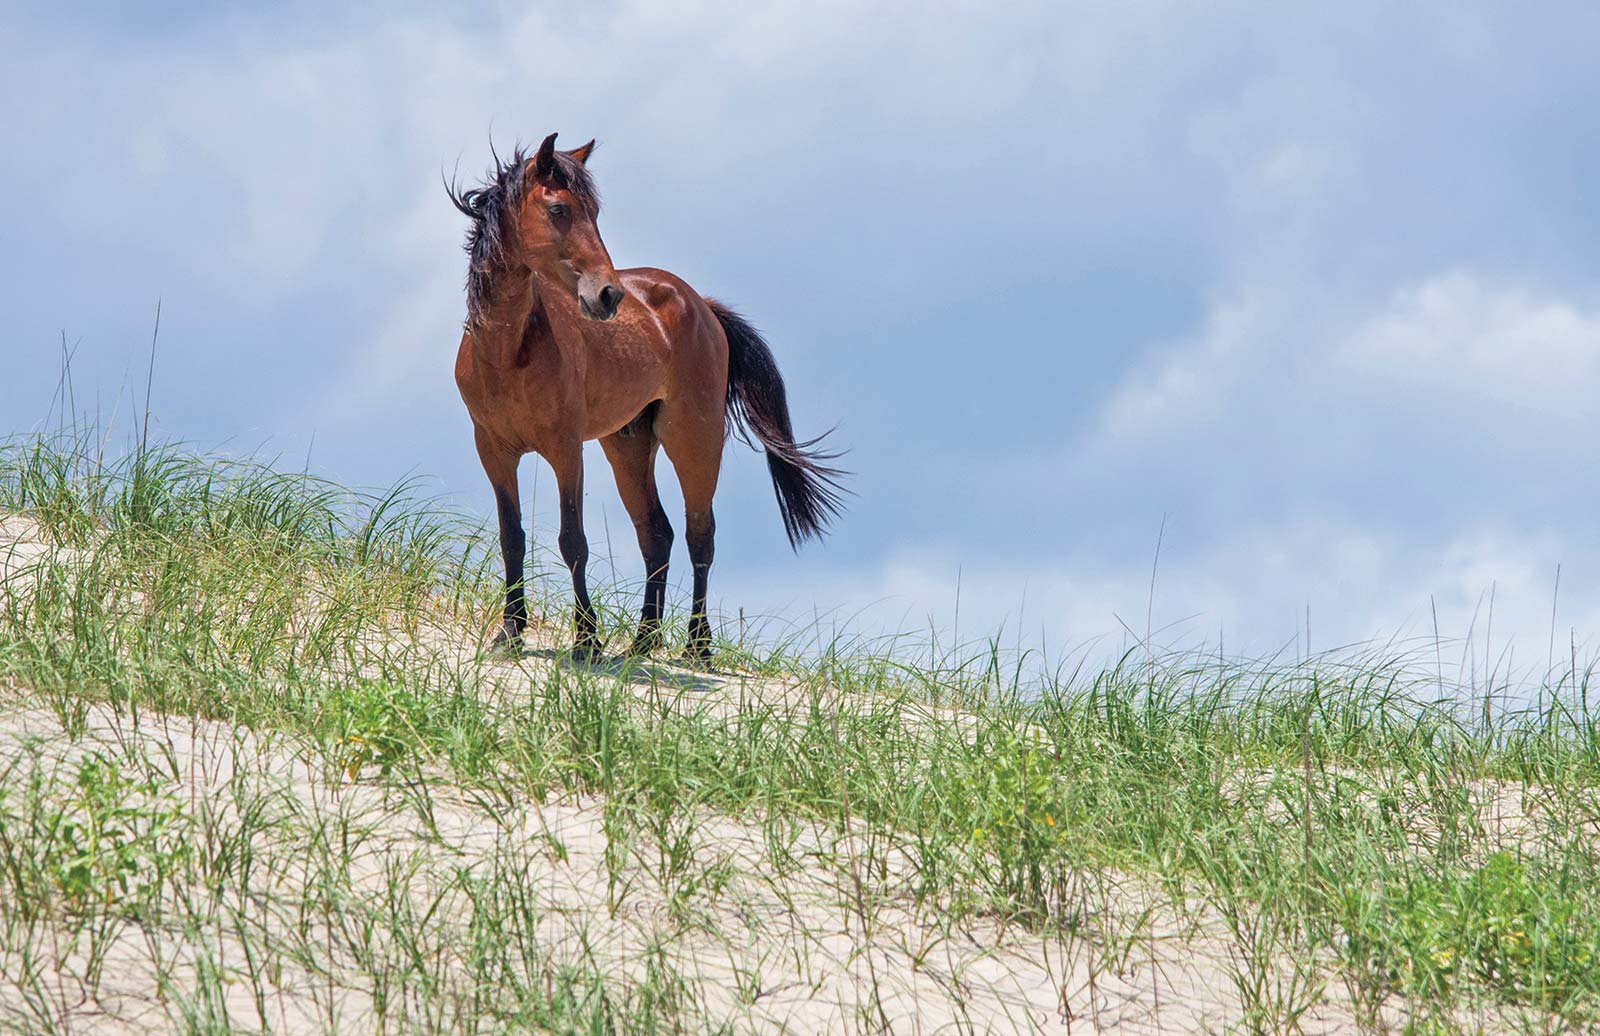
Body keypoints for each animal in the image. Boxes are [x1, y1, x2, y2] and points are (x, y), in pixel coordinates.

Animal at [444, 133, 844, 658]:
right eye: (558, 209)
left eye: (595, 211)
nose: (608, 295)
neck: (509, 351)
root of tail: (701, 306)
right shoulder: (493, 450)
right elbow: (512, 536)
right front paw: (509, 631)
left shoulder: (565, 450)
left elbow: (573, 541)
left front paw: (586, 640)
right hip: (628, 445)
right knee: (657, 533)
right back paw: (643, 639)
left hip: (693, 439)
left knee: (699, 534)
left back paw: (696, 644)